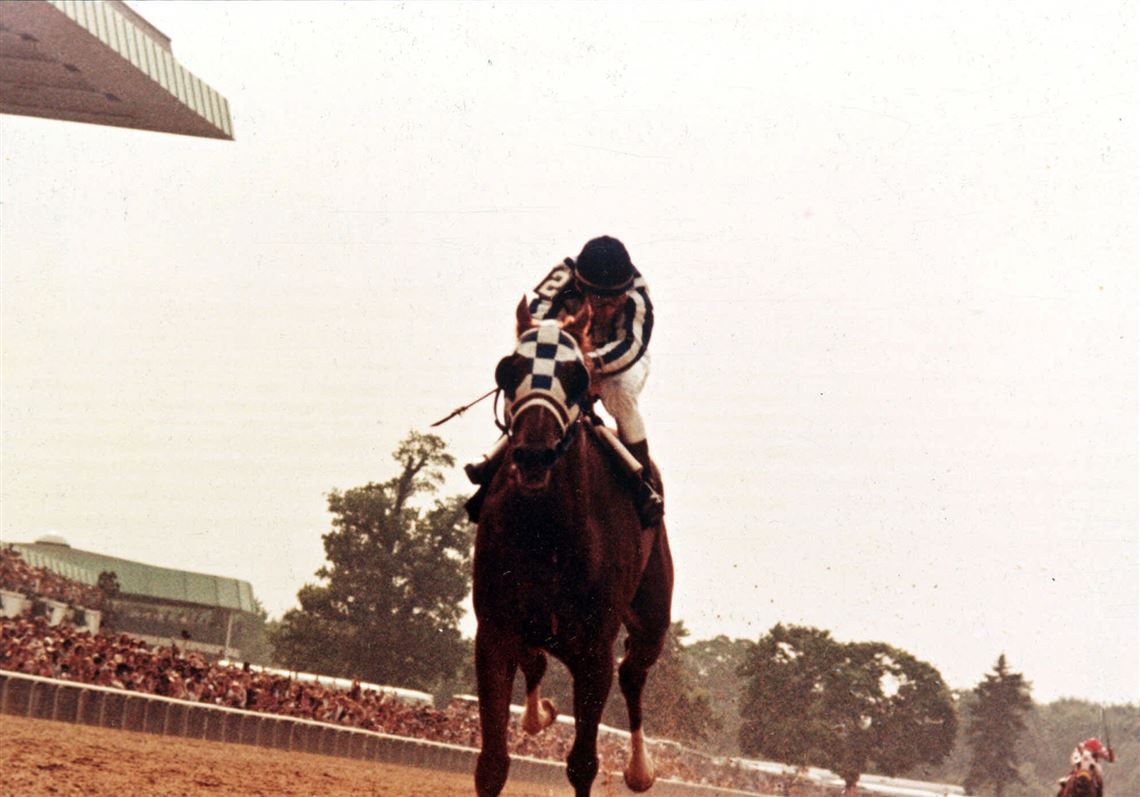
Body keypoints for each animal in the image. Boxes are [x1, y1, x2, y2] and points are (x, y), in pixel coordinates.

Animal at [474, 298, 670, 797]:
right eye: (509, 369)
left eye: (575, 374)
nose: (534, 455)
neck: (548, 533)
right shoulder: (495, 632)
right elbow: (492, 764)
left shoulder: (594, 650)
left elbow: (583, 762)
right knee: (537, 661)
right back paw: (537, 714)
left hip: (652, 616)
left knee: (633, 673)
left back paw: (640, 768)